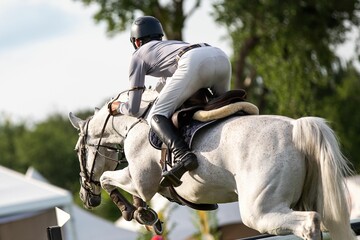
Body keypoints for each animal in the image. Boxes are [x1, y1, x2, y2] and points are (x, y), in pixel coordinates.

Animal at [69, 88, 356, 240]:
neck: (134, 121)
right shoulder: (144, 183)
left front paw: (131, 211)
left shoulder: (140, 179)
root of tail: (296, 128)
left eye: (77, 150)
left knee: (308, 223)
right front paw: (145, 215)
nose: (85, 197)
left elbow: (107, 178)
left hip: (259, 211)